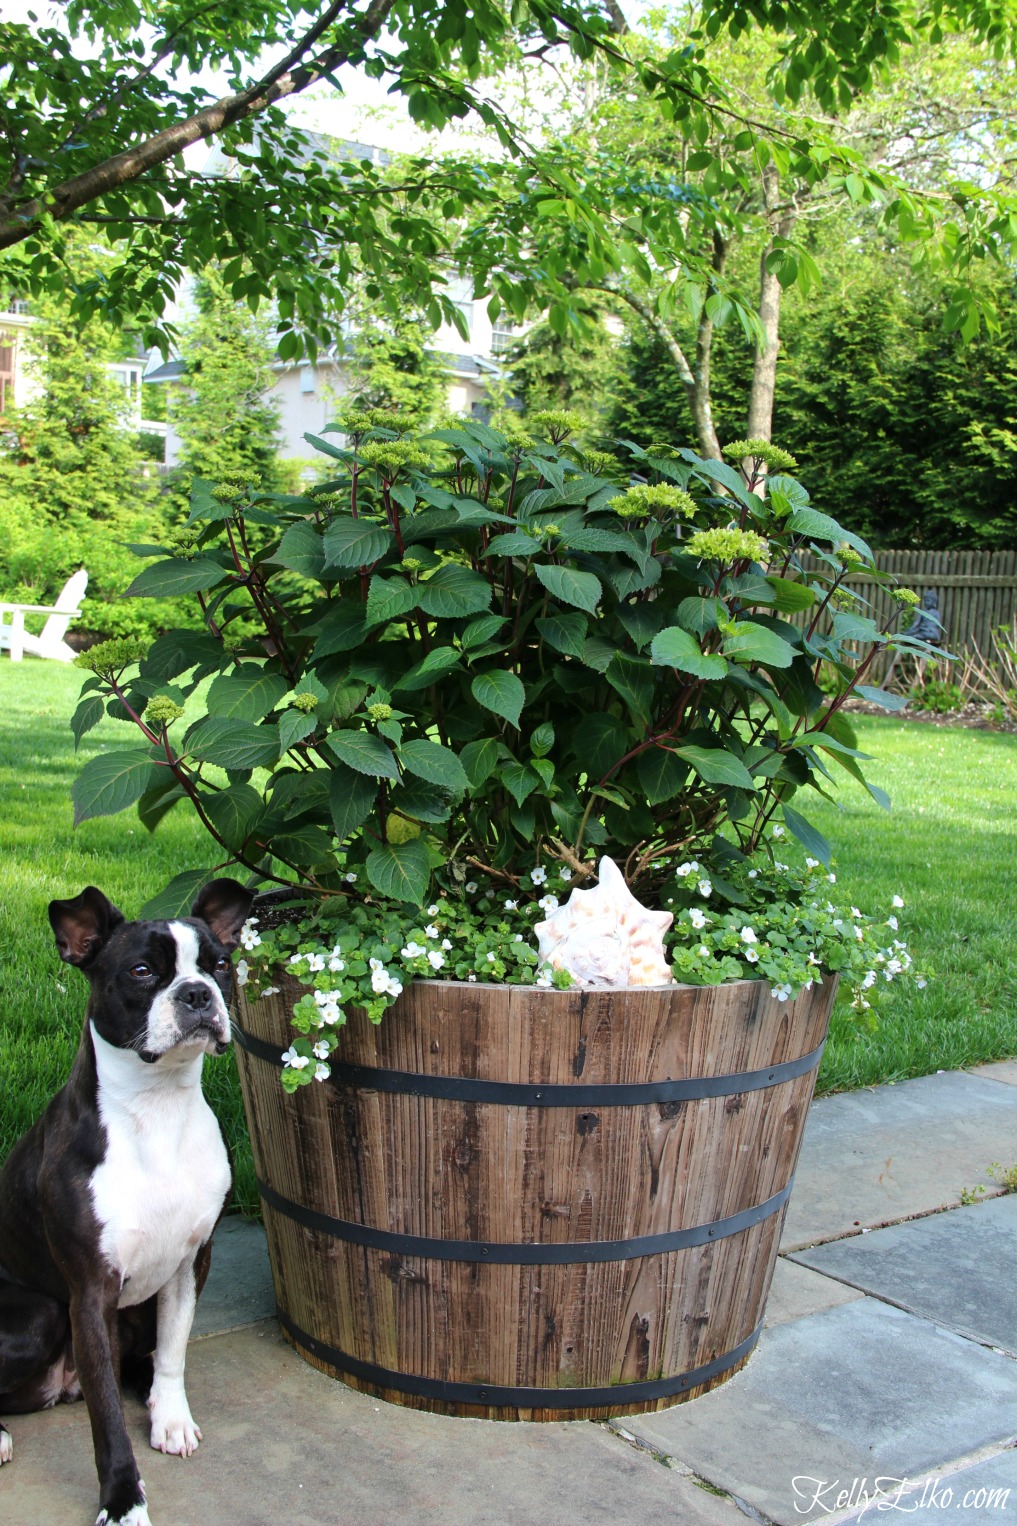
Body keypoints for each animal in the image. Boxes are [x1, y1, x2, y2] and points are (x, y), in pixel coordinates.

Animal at [0, 878, 251, 1526]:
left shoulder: (190, 1264)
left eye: (220, 964)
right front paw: (123, 1499)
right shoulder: (90, 1291)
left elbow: (174, 1349)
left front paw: (170, 1416)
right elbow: (106, 1418)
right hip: (39, 1315)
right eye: (141, 971)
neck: (157, 1105)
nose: (197, 993)